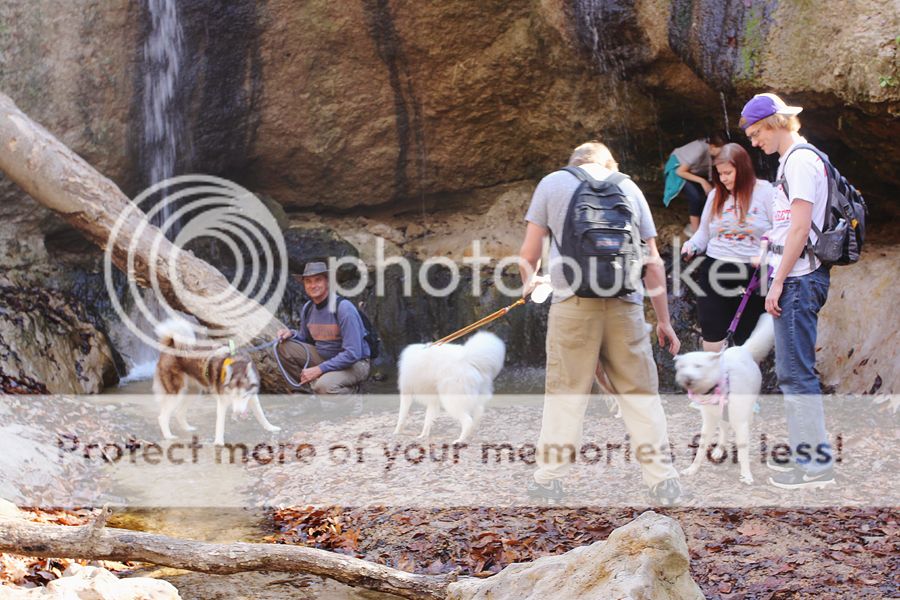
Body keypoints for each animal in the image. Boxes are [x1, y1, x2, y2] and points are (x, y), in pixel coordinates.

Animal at [151, 318, 280, 446]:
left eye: (244, 396)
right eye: (233, 396)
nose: (238, 413)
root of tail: (171, 344)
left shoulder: (252, 396)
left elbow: (261, 414)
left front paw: (270, 427)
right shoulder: (222, 401)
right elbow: (220, 424)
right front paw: (219, 442)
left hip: (193, 392)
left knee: (179, 413)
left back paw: (187, 428)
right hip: (176, 393)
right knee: (162, 417)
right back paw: (168, 436)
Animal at [676, 316, 772, 486]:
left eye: (698, 366)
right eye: (682, 367)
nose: (687, 378)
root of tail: (742, 349)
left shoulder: (740, 423)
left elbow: (743, 451)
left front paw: (746, 475)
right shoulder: (708, 421)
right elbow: (700, 450)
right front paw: (692, 469)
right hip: (721, 417)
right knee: (724, 431)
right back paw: (719, 450)